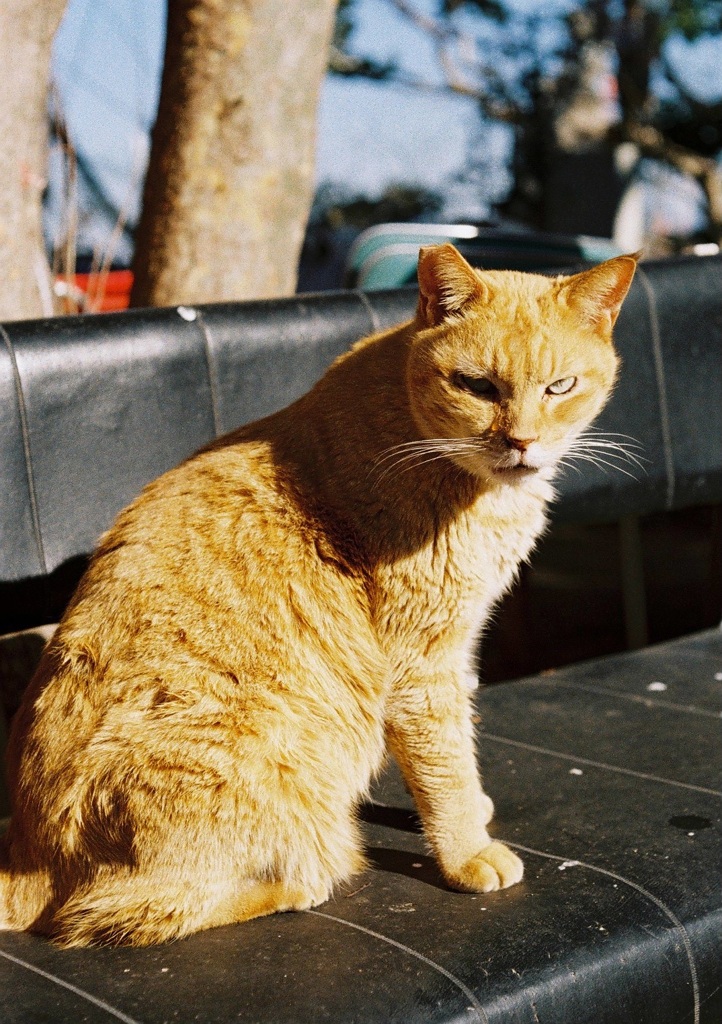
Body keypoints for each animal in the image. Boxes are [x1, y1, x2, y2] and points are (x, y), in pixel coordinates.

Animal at [0, 245, 634, 942]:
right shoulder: (422, 662)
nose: (521, 441)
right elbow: (444, 765)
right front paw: (468, 850)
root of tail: (27, 855)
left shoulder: (456, 645)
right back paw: (302, 882)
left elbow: (450, 749)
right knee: (124, 910)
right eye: (476, 386)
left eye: (560, 388)